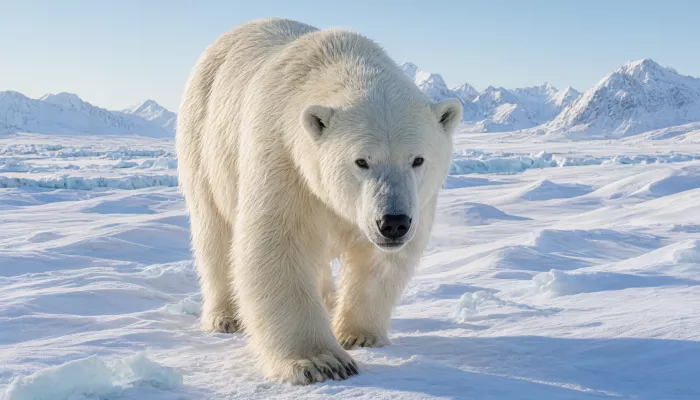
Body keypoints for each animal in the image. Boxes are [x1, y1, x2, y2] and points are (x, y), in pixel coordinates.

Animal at [176, 18, 462, 384]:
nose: (393, 223)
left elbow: (380, 263)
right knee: (214, 230)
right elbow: (279, 245)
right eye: (361, 161)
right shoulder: (285, 158)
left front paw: (359, 335)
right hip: (202, 140)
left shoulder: (415, 204)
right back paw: (225, 316)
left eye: (417, 159)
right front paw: (321, 362)